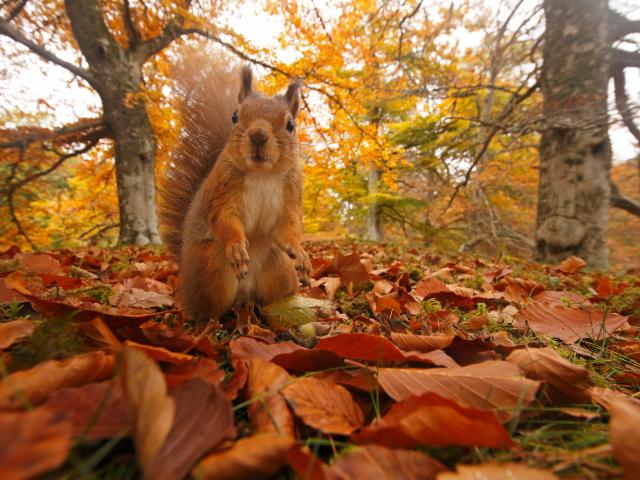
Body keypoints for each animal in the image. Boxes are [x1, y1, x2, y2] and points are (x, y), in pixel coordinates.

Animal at [159, 63, 311, 322]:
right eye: (235, 116)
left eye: (291, 124)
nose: (258, 135)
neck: (261, 174)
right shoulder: (223, 188)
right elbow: (224, 218)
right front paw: (237, 245)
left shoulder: (291, 191)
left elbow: (286, 228)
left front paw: (298, 250)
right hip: (212, 269)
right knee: (207, 311)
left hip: (279, 270)